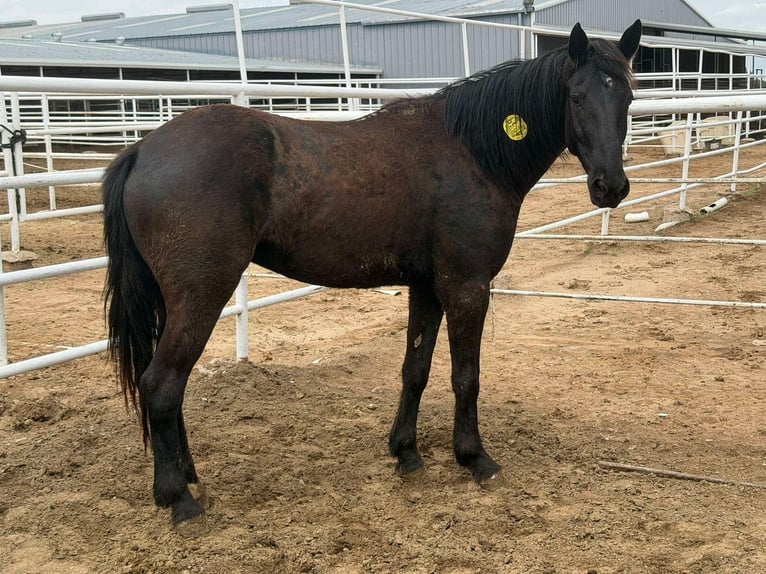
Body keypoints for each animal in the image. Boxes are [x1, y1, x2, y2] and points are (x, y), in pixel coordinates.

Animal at [103, 20, 642, 527]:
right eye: (576, 96)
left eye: (629, 96)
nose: (611, 187)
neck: (471, 152)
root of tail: (142, 152)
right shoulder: (466, 287)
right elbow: (466, 375)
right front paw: (475, 458)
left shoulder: (427, 287)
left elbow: (415, 370)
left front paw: (406, 453)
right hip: (202, 294)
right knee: (163, 384)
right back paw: (179, 500)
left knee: (170, 386)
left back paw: (189, 477)